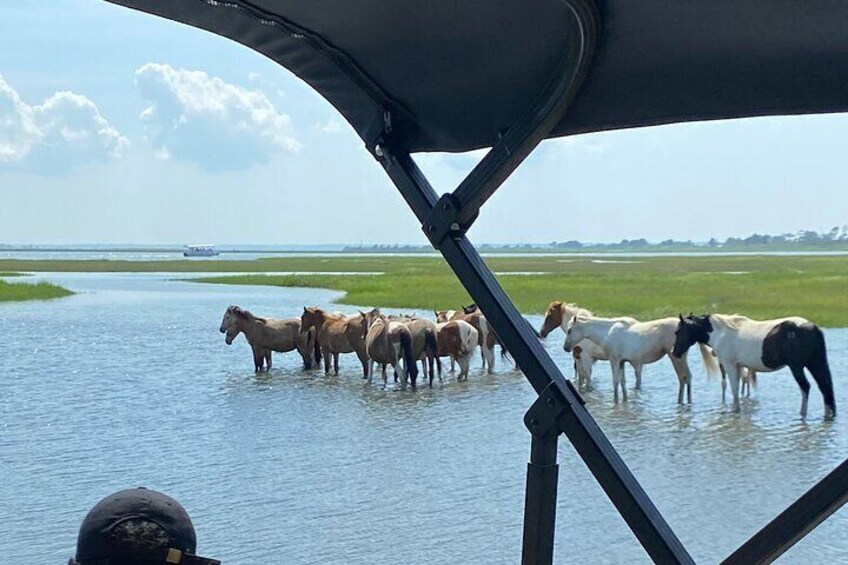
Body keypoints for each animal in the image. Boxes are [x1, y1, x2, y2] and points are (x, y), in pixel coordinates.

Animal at [568, 316, 712, 404]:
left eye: (569, 330)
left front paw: (615, 402)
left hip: (676, 358)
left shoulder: (614, 360)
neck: (607, 333)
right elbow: (623, 382)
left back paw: (680, 402)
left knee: (683, 377)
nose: (566, 347)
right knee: (688, 377)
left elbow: (615, 382)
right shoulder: (622, 362)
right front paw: (624, 402)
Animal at [672, 312, 840, 418]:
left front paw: (735, 411)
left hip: (797, 367)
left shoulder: (729, 364)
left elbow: (734, 389)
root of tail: (813, 327)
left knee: (806, 387)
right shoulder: (739, 366)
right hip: (815, 364)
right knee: (824, 387)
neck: (722, 332)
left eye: (678, 331)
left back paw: (802, 415)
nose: (675, 353)